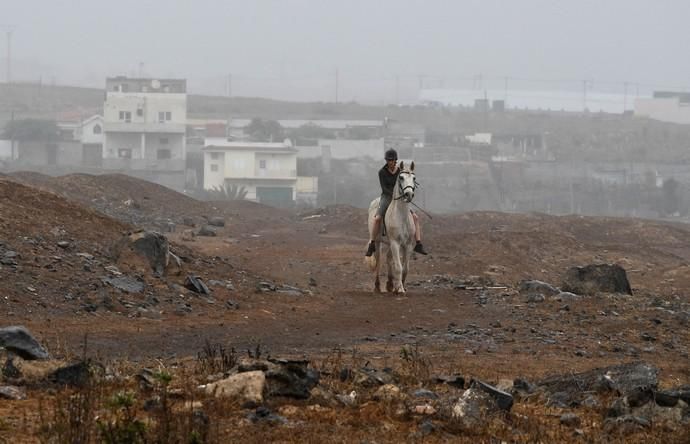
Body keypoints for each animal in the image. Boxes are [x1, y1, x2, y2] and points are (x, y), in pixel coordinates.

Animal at [366, 161, 414, 294]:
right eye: (401, 177)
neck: (401, 217)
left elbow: (406, 268)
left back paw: (390, 284)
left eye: (414, 178)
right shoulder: (395, 243)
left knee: (388, 259)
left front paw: (401, 285)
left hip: (389, 243)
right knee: (379, 260)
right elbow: (398, 267)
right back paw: (377, 286)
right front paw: (400, 289)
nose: (409, 194)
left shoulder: (407, 245)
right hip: (379, 242)